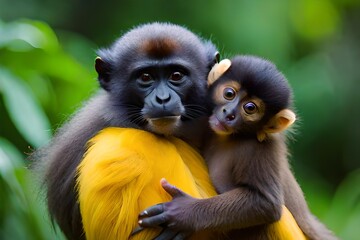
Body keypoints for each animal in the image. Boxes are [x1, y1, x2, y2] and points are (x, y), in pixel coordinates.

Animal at [139, 55, 338, 239]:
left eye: (250, 108)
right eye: (229, 94)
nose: (229, 113)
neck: (231, 138)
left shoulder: (259, 149)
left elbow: (266, 204)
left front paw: (181, 212)